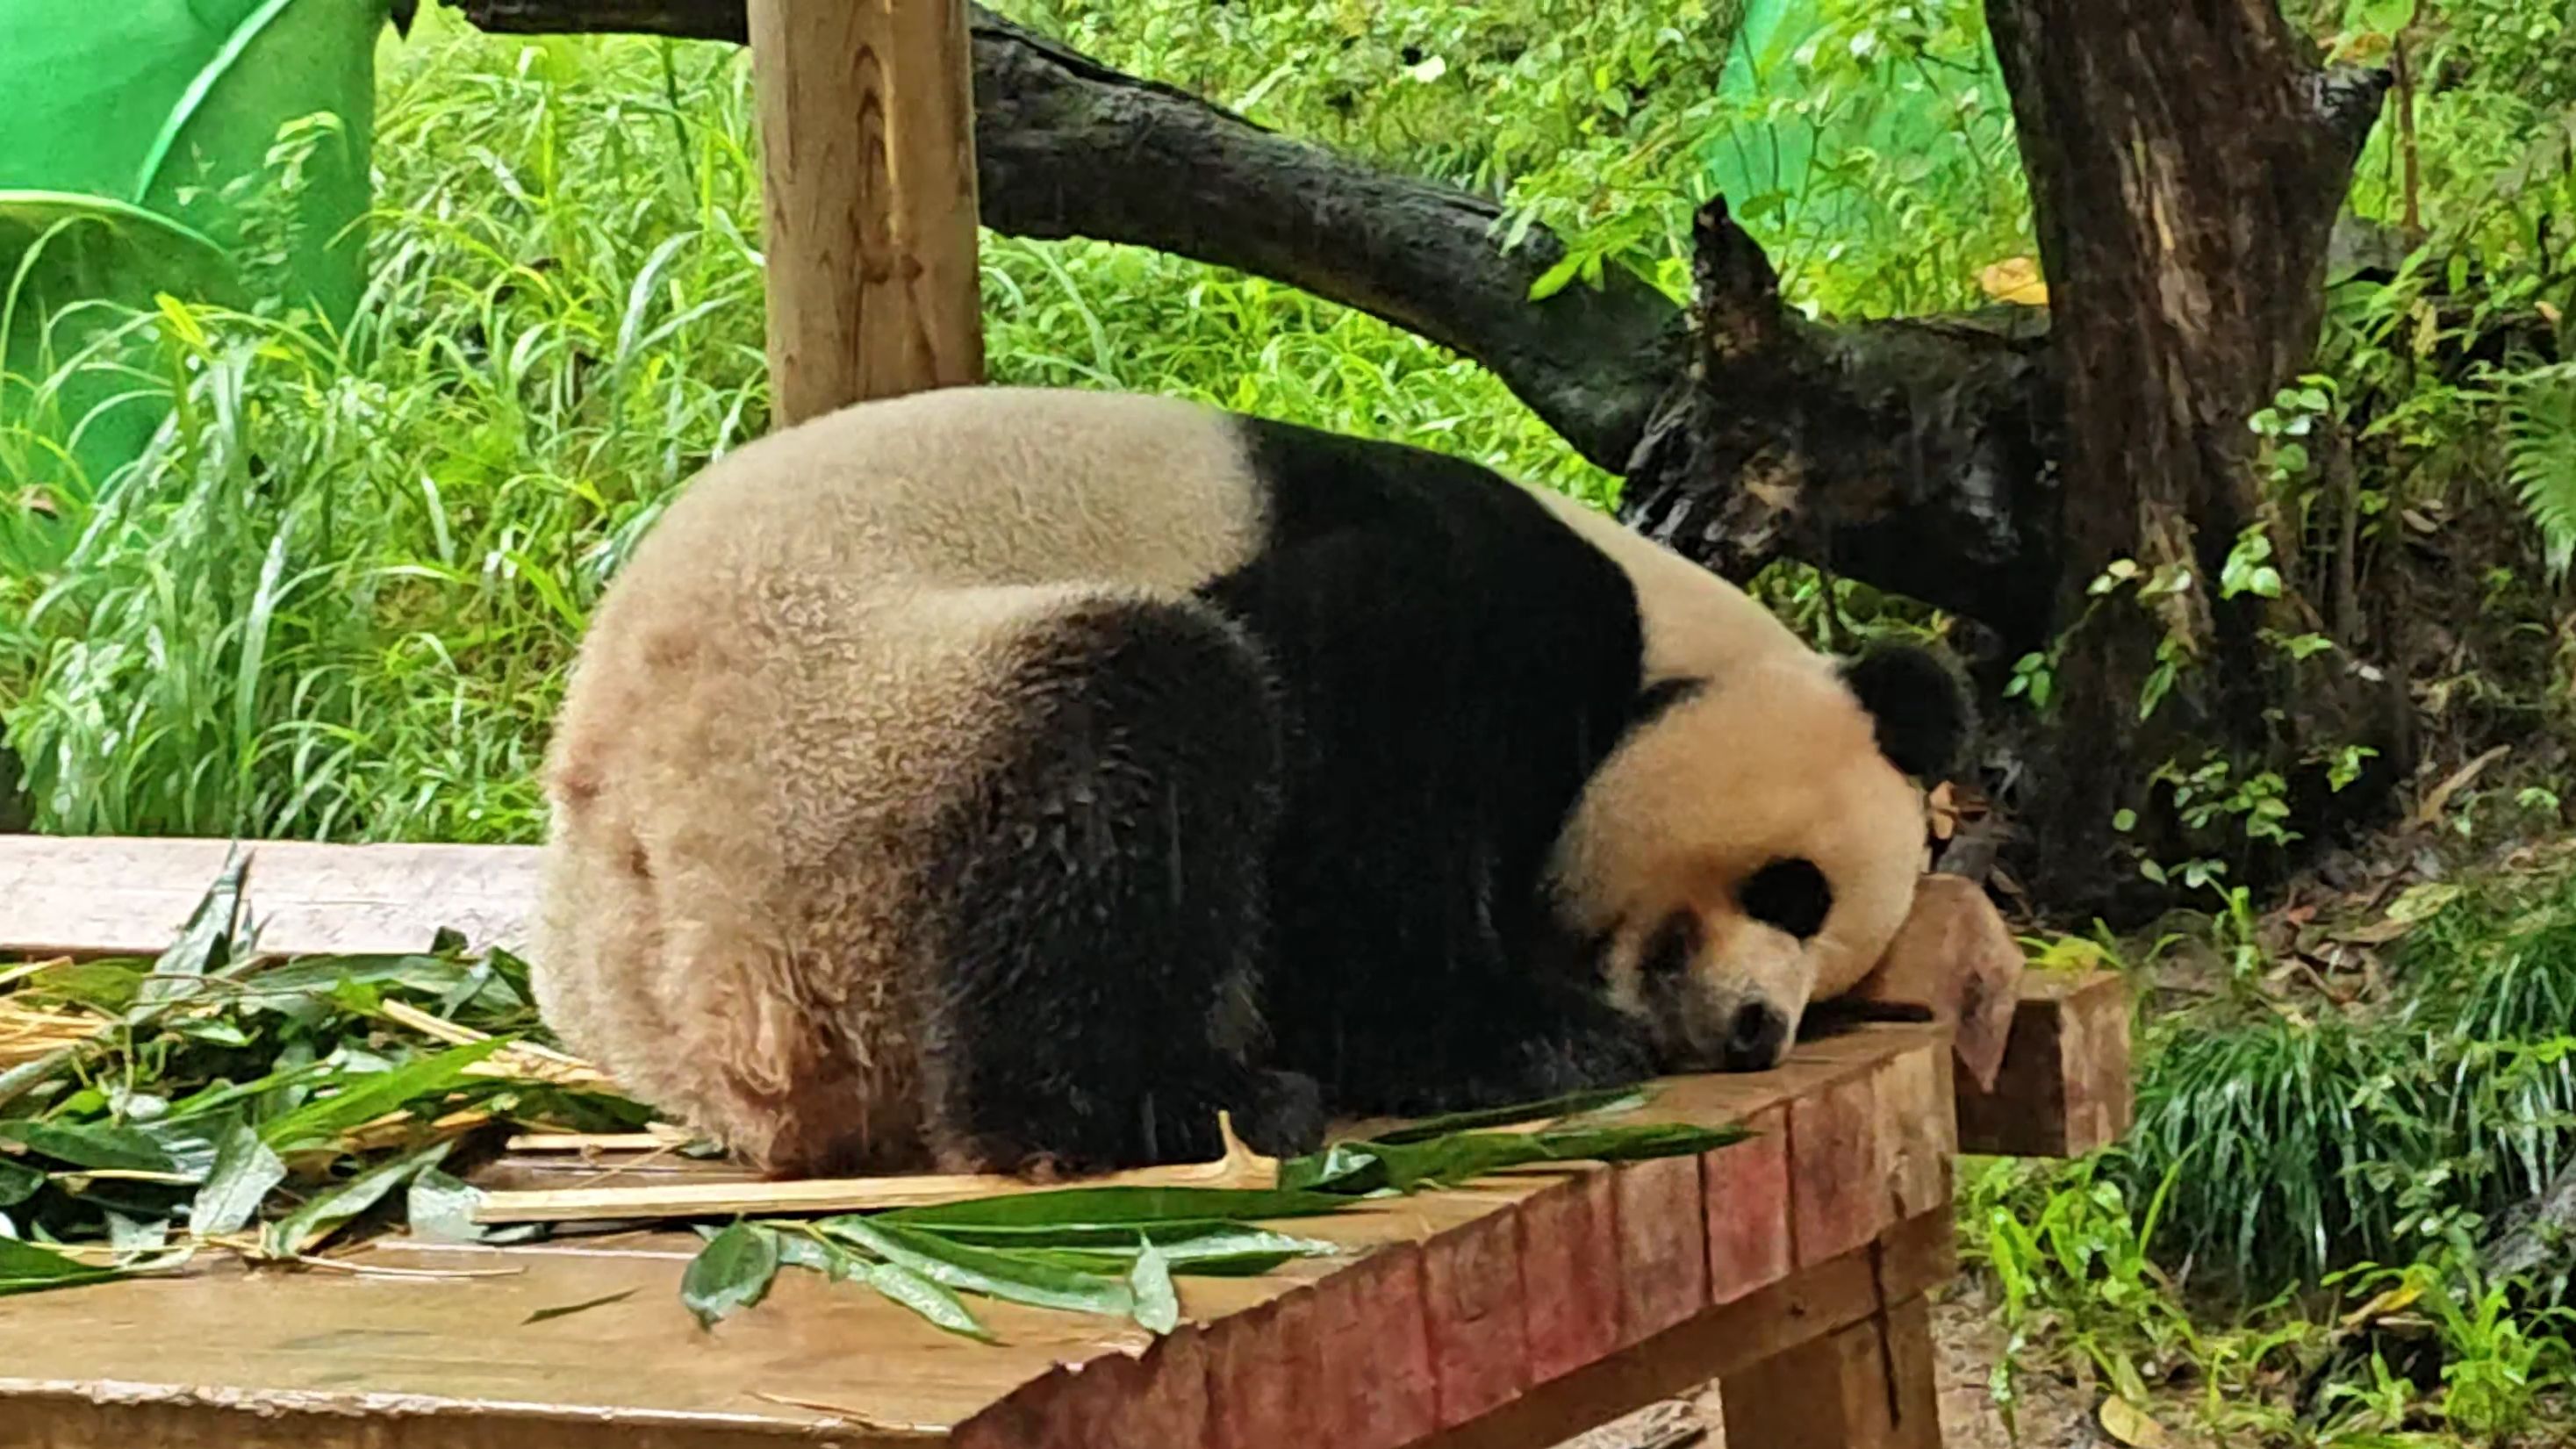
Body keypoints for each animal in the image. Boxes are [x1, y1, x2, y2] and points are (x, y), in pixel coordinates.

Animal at [527, 385, 1968, 1179]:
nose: (1757, 1029)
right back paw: (1170, 1104)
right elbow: (1351, 823)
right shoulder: (1437, 608)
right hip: (840, 759)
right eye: (1793, 890)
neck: (1655, 644)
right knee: (1136, 731)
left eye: (1833, 968)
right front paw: (1516, 1037)